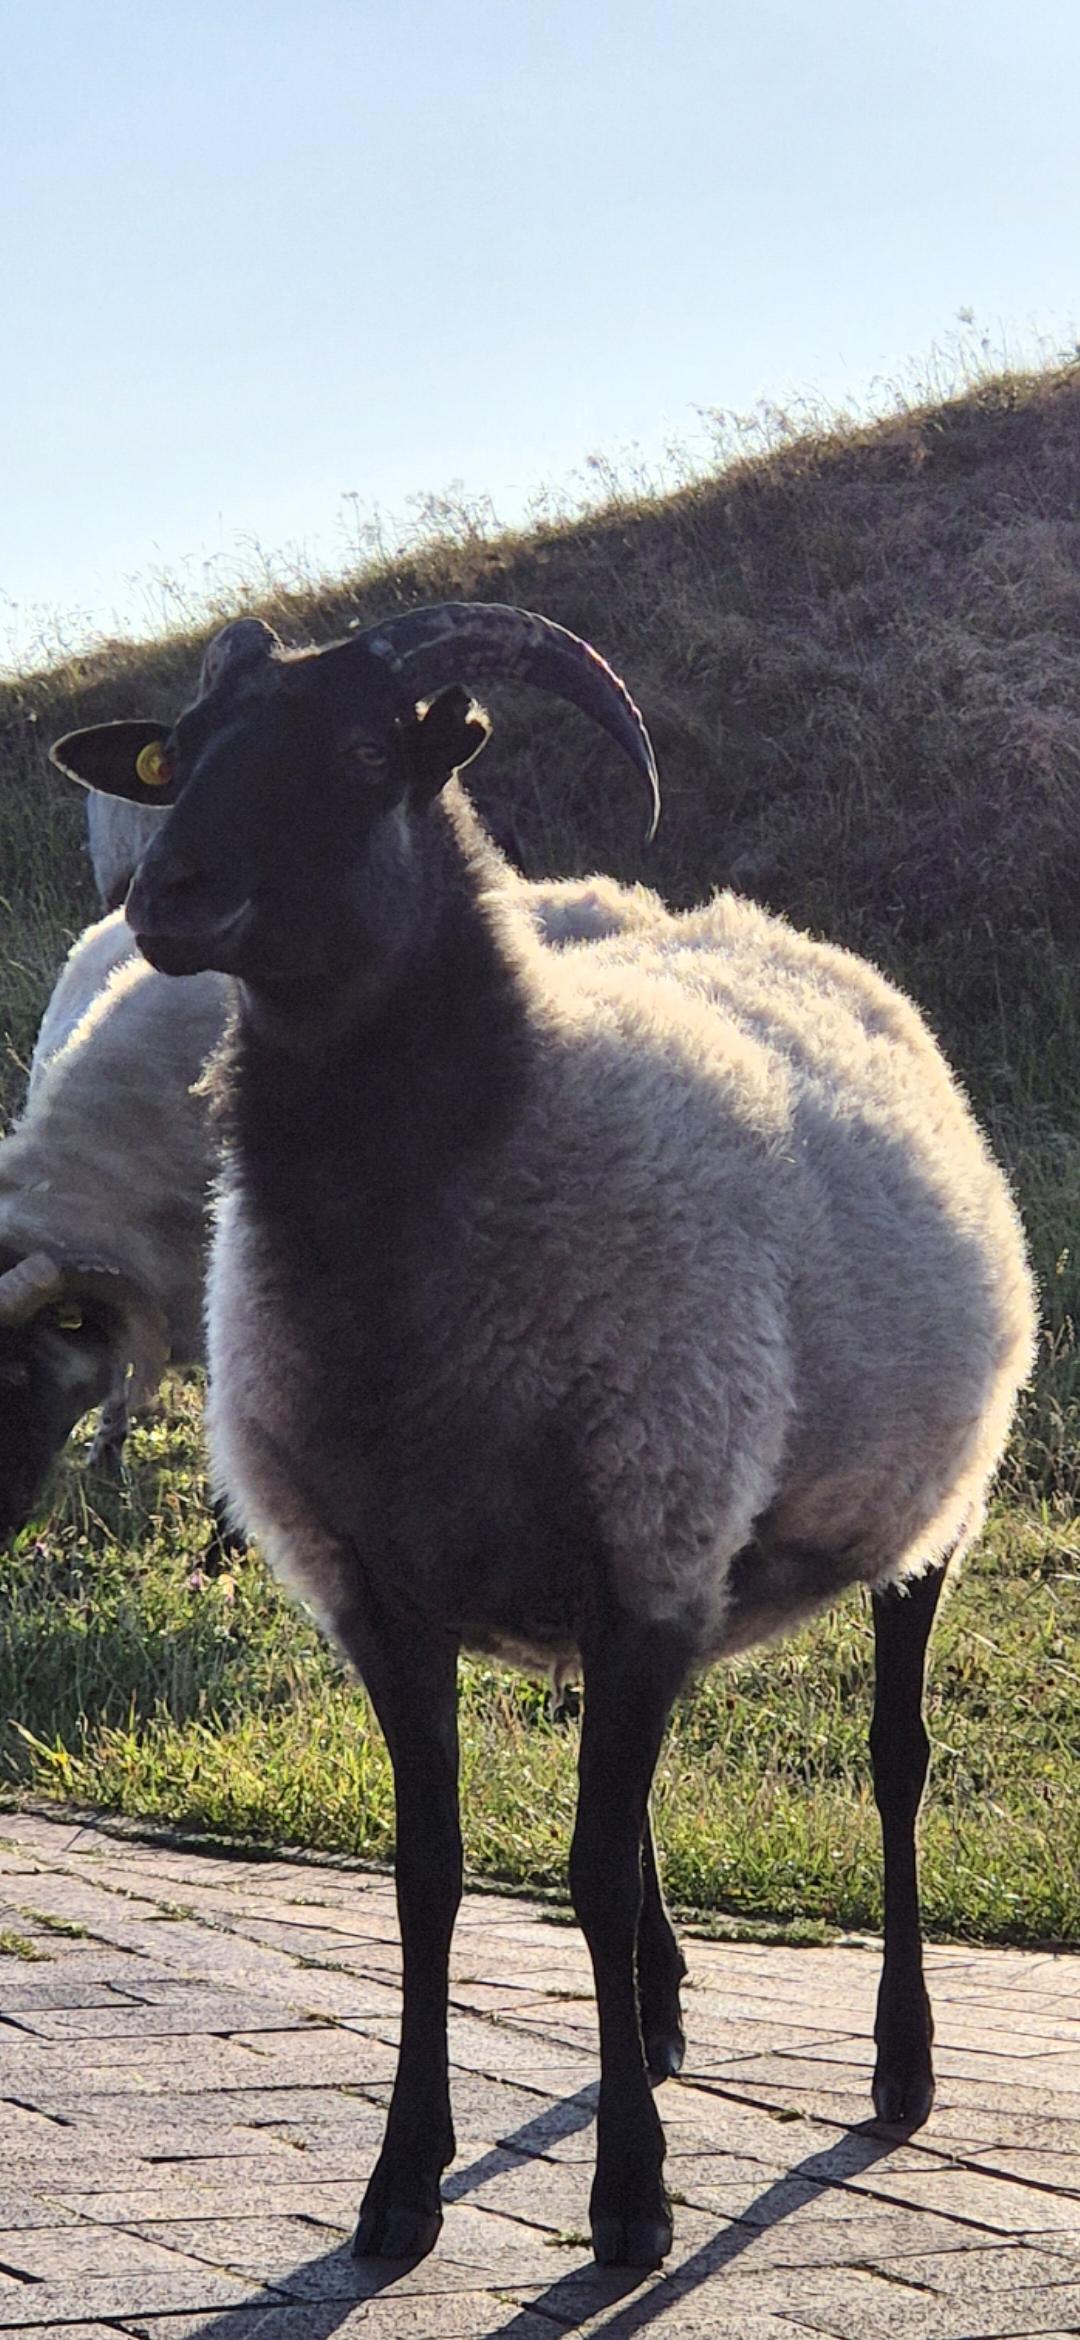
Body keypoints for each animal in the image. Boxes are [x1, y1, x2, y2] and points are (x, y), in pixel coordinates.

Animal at [51, 601, 1036, 2271]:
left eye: (363, 752)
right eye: (175, 755)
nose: (167, 895)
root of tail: (774, 933)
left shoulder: (646, 1543)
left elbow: (581, 1869)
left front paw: (632, 2199)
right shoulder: (389, 1588)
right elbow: (432, 1876)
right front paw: (400, 2186)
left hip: (916, 1516)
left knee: (896, 1766)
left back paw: (900, 2066)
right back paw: (664, 2013)